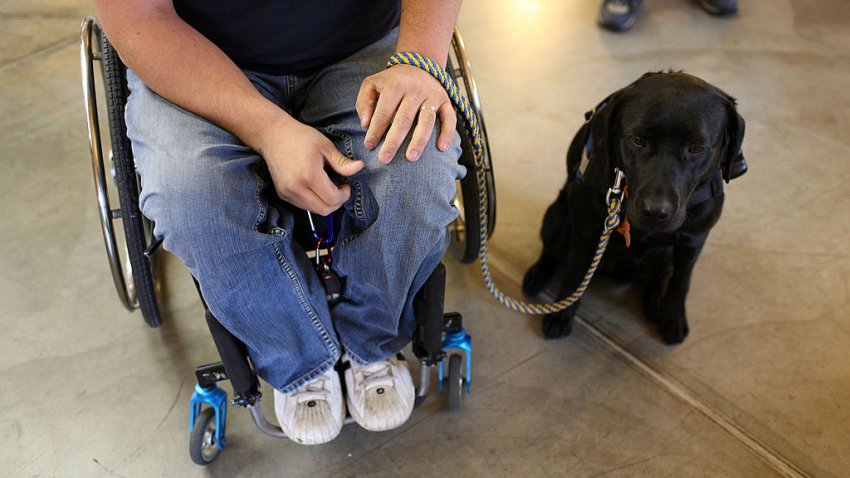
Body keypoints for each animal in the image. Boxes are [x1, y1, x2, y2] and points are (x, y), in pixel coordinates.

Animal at [520, 72, 744, 344]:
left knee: (658, 279)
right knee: (551, 251)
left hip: (665, 255)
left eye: (696, 148)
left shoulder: (693, 240)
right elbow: (575, 274)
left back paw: (655, 303)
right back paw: (537, 276)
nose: (654, 212)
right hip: (557, 217)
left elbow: (681, 283)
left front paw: (673, 317)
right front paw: (561, 314)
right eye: (638, 140)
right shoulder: (587, 230)